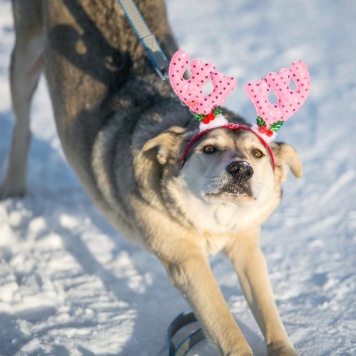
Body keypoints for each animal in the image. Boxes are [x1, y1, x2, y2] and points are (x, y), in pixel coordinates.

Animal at [0, 1, 304, 354]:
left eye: (257, 154)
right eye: (209, 148)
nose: (241, 168)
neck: (213, 222)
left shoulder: (246, 244)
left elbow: (269, 312)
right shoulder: (185, 260)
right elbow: (223, 323)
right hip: (25, 57)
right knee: (22, 125)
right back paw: (13, 189)